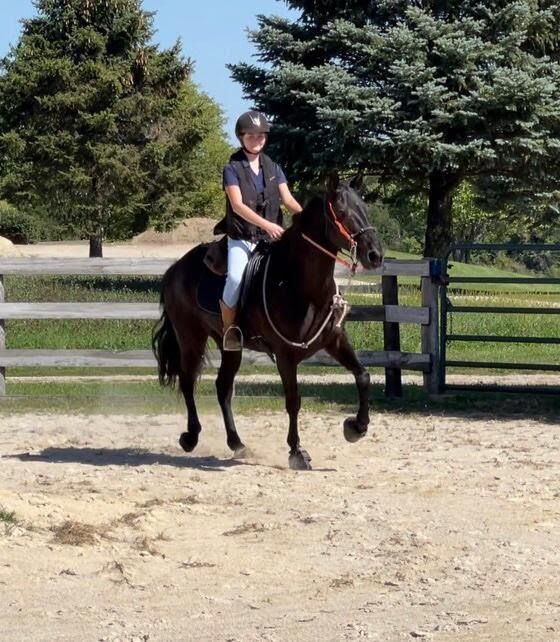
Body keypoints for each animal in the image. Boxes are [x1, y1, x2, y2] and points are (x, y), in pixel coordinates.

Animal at [152, 173, 384, 470]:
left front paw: (356, 427)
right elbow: (293, 400)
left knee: (222, 387)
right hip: (191, 337)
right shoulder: (285, 355)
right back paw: (190, 437)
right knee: (187, 381)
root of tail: (175, 269)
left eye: (364, 208)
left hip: (230, 346)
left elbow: (363, 376)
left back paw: (237, 444)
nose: (375, 255)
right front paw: (297, 452)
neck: (299, 284)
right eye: (342, 212)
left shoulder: (335, 341)